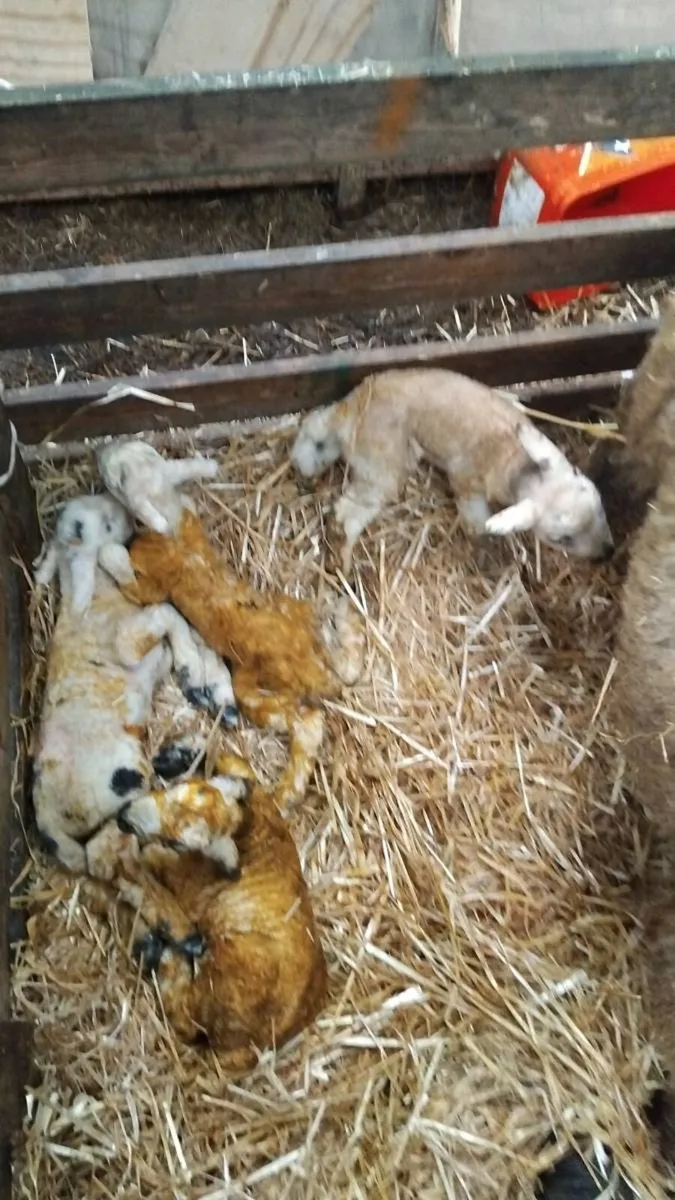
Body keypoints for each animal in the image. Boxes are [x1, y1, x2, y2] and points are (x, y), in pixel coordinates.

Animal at [33, 494, 239, 874]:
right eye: (106, 523)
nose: (132, 517)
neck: (98, 594)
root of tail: (46, 817)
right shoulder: (127, 640)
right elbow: (169, 616)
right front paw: (191, 671)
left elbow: (186, 625)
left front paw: (206, 682)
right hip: (125, 779)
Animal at [82, 743, 327, 1071]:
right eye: (175, 789)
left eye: (178, 842)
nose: (124, 818)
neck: (247, 825)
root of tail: (254, 1048)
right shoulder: (252, 790)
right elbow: (233, 761)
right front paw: (177, 756)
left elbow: (143, 867)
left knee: (184, 1014)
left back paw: (157, 950)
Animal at [96, 441, 364, 808]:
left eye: (119, 481)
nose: (102, 454)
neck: (169, 517)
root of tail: (316, 670)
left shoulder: (150, 585)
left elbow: (128, 577)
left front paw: (108, 552)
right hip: (296, 613)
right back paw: (343, 615)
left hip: (255, 690)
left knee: (308, 723)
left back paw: (287, 793)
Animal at [290, 368, 614, 574]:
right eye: (562, 539)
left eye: (600, 506)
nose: (607, 552)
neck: (514, 459)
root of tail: (354, 413)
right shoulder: (467, 481)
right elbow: (476, 521)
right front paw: (489, 548)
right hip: (382, 465)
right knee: (349, 513)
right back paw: (344, 563)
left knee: (316, 423)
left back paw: (306, 456)